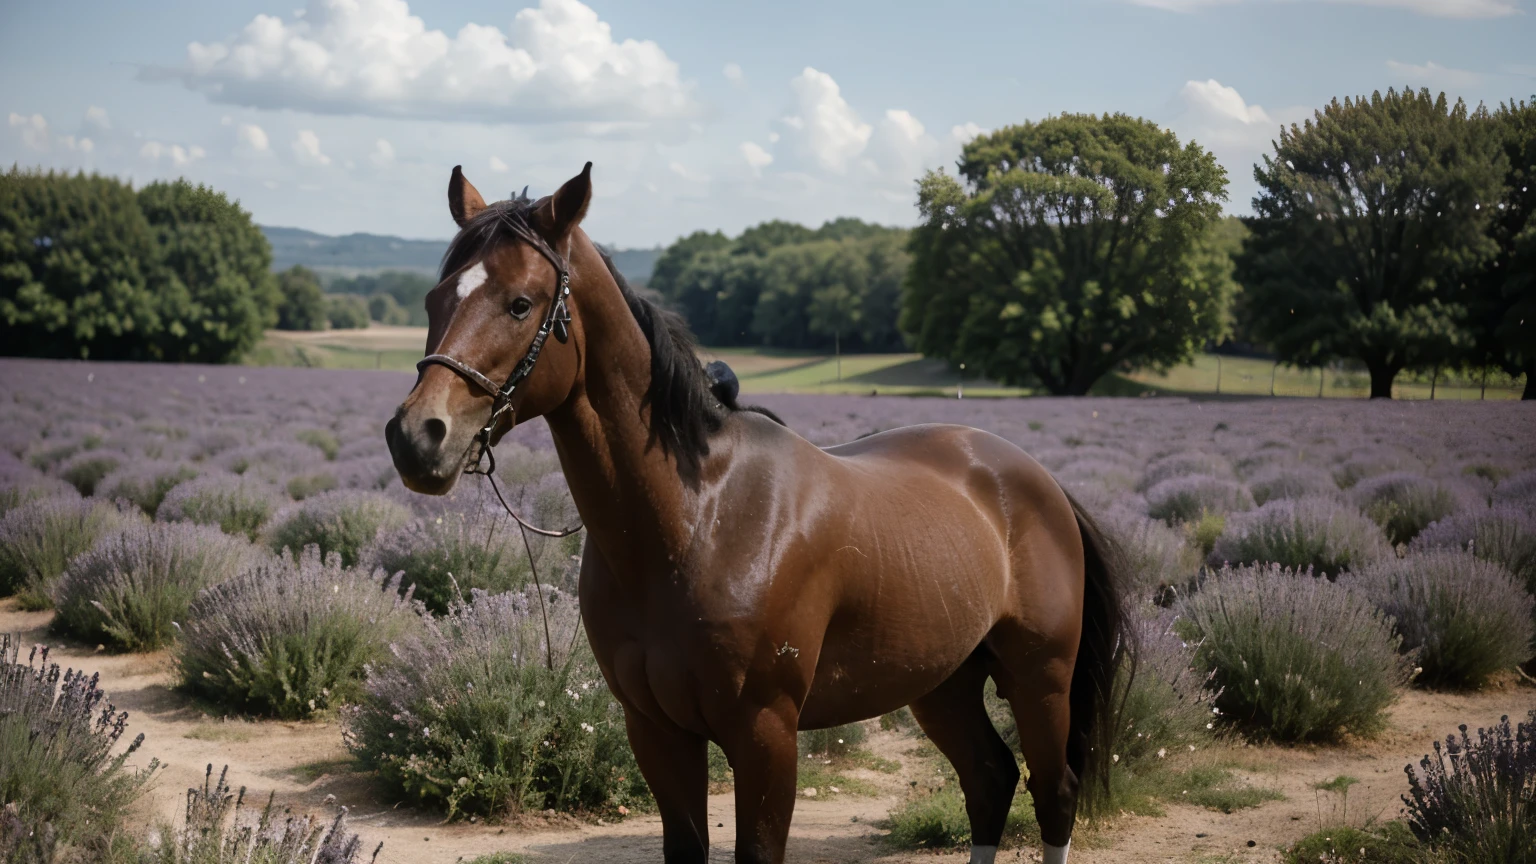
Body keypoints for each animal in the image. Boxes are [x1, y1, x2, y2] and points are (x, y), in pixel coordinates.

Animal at [387, 162, 1130, 860]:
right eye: (433, 297)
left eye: (521, 303)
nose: (417, 436)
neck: (696, 520)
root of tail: (1040, 482)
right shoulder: (656, 730)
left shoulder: (765, 733)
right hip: (941, 682)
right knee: (988, 780)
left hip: (1040, 679)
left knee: (1052, 793)